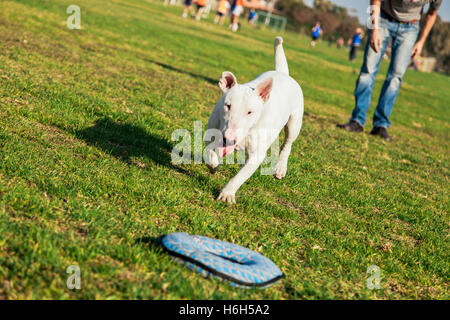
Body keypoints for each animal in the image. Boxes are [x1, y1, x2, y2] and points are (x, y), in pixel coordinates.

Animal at [206, 36, 304, 204]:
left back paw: (280, 169)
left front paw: (227, 194)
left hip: (294, 122)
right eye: (228, 106)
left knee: (288, 144)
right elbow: (209, 151)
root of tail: (283, 73)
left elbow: (239, 177)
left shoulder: (256, 155)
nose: (229, 138)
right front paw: (214, 165)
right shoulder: (212, 132)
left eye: (250, 112)